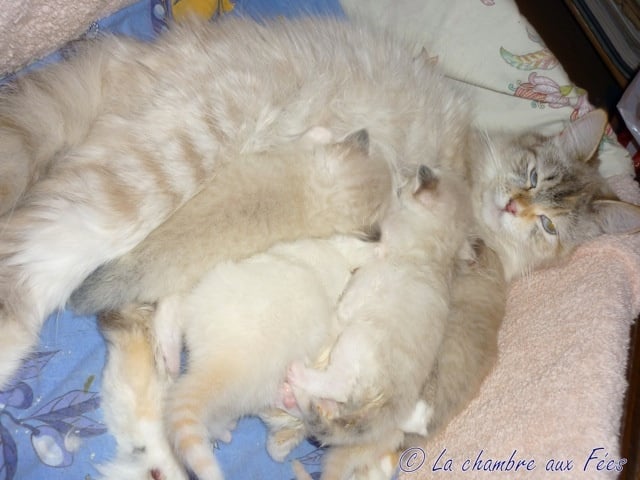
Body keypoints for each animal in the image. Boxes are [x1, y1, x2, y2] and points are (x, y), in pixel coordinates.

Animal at [1, 15, 640, 390]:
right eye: (531, 175)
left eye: (550, 227)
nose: (517, 208)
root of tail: (134, 58)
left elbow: (176, 290)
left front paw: (166, 340)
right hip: (163, 165)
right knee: (36, 250)